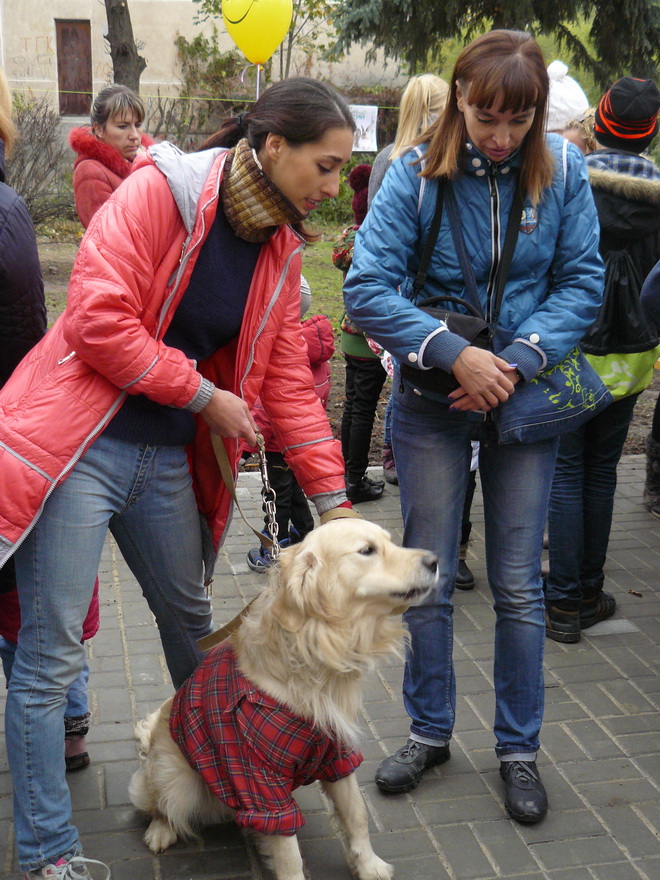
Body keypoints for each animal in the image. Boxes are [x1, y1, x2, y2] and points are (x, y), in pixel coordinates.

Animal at [129, 520, 438, 876]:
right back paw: (161, 830)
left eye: (391, 542)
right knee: (162, 806)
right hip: (176, 777)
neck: (314, 653)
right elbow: (289, 850)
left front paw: (368, 865)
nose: (434, 561)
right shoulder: (256, 772)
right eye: (366, 550)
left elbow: (356, 813)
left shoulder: (337, 751)